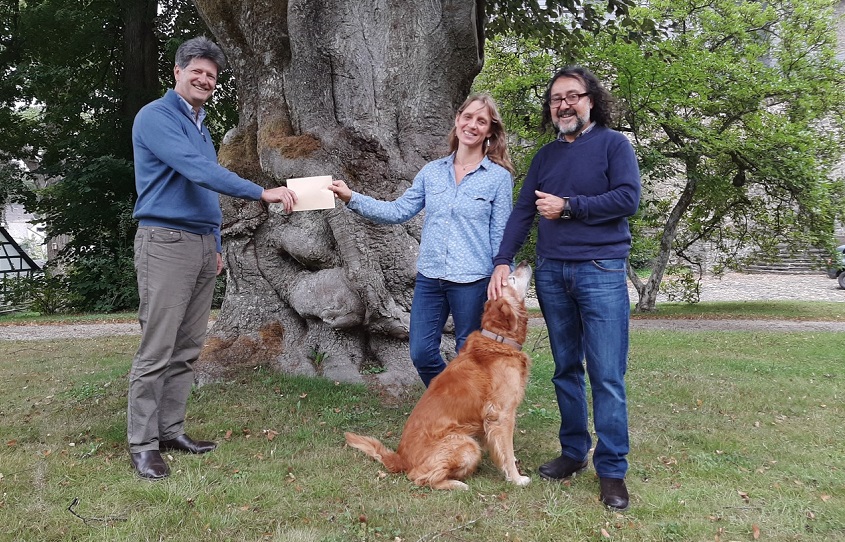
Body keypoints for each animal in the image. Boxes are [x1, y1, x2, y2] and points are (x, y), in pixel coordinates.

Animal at [342, 264, 528, 492]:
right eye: (511, 278)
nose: (525, 263)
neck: (498, 339)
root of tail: (401, 457)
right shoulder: (502, 413)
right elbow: (507, 450)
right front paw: (516, 477)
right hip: (466, 444)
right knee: (420, 477)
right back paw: (457, 484)